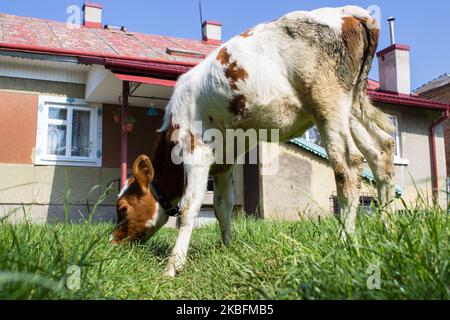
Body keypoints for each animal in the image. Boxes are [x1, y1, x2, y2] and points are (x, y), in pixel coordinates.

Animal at [112, 6, 394, 278]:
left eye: (122, 208)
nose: (112, 242)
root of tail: (353, 13)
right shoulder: (224, 162)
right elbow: (222, 207)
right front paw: (227, 248)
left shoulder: (197, 151)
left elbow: (188, 208)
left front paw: (173, 266)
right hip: (352, 105)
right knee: (381, 150)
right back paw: (386, 228)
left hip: (328, 101)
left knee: (348, 166)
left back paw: (345, 240)